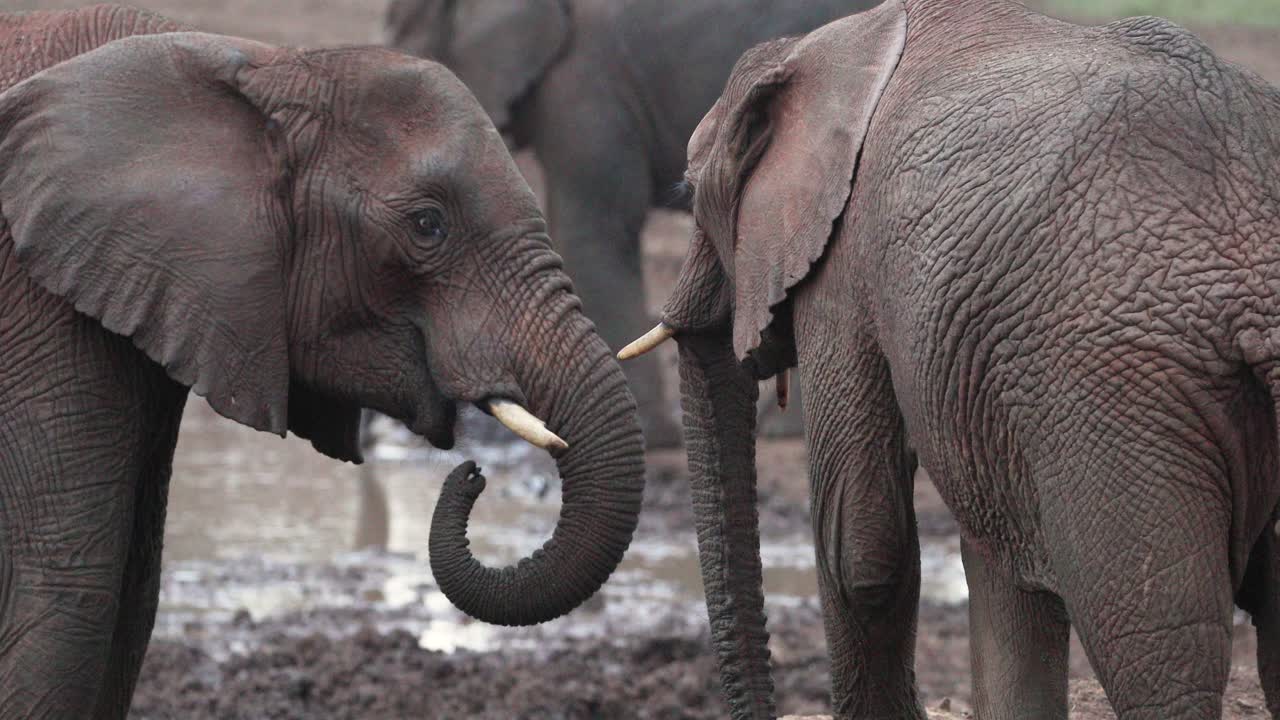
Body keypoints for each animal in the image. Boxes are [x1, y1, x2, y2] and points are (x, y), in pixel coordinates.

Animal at [0, 5, 643, 718]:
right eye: (427, 225)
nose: (473, 475)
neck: (257, 65)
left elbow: (133, 596)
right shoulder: (36, 295)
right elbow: (72, 589)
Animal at [622, 0, 1280, 718]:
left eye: (687, 186)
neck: (826, 45)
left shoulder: (844, 267)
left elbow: (861, 545)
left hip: (1117, 405)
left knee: (1158, 651)